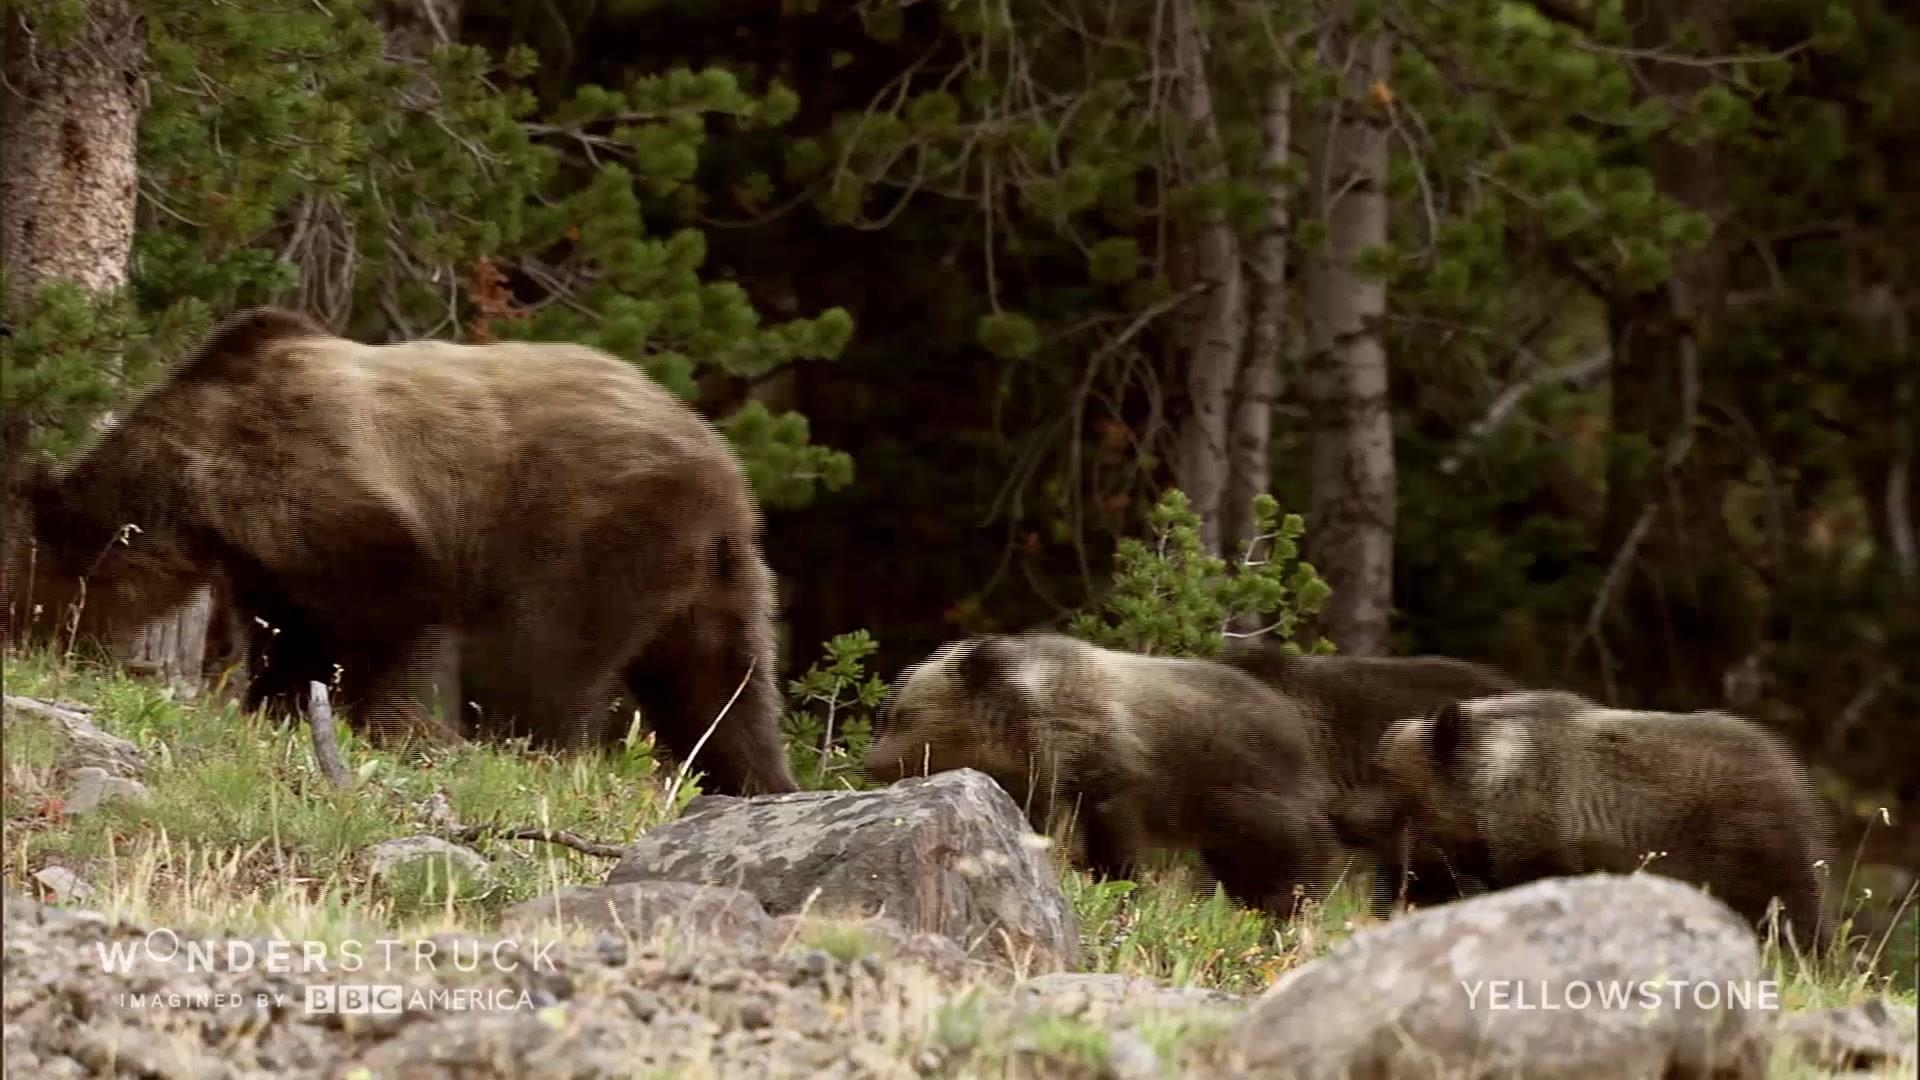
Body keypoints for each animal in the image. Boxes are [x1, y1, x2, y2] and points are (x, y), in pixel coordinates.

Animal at [21, 306, 799, 796]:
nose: (29, 637)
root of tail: (719, 465)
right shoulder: (267, 557)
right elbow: (289, 635)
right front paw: (279, 703)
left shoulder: (320, 487)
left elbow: (385, 612)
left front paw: (375, 720)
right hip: (718, 582)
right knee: (722, 689)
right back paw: (757, 781)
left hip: (589, 533)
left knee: (542, 659)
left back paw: (527, 745)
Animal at [861, 631, 1344, 918]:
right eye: (891, 711)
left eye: (903, 714)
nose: (871, 760)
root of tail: (1296, 718)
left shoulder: (1113, 774)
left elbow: (1115, 843)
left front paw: (1122, 889)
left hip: (1249, 790)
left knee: (1292, 854)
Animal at [1365, 690, 1833, 949]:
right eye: (1380, 774)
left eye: (1395, 793)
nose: (1393, 883)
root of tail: (1792, 769)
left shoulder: (1540, 822)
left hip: (1743, 835)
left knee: (1787, 908)